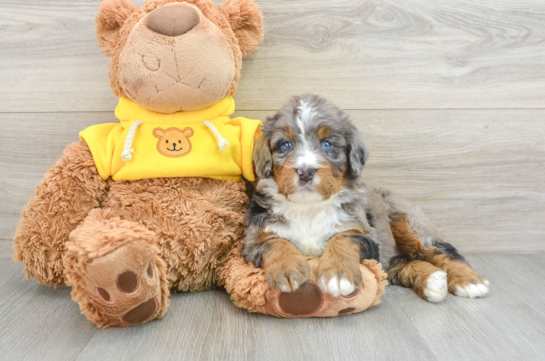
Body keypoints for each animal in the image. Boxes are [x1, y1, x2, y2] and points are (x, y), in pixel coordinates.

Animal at [242, 94, 488, 302]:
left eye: (327, 144)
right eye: (285, 145)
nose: (305, 171)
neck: (309, 208)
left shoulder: (366, 234)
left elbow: (343, 238)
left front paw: (338, 275)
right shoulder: (253, 240)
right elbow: (275, 242)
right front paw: (287, 270)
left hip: (408, 221)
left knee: (442, 250)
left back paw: (470, 282)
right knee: (401, 264)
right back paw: (432, 281)